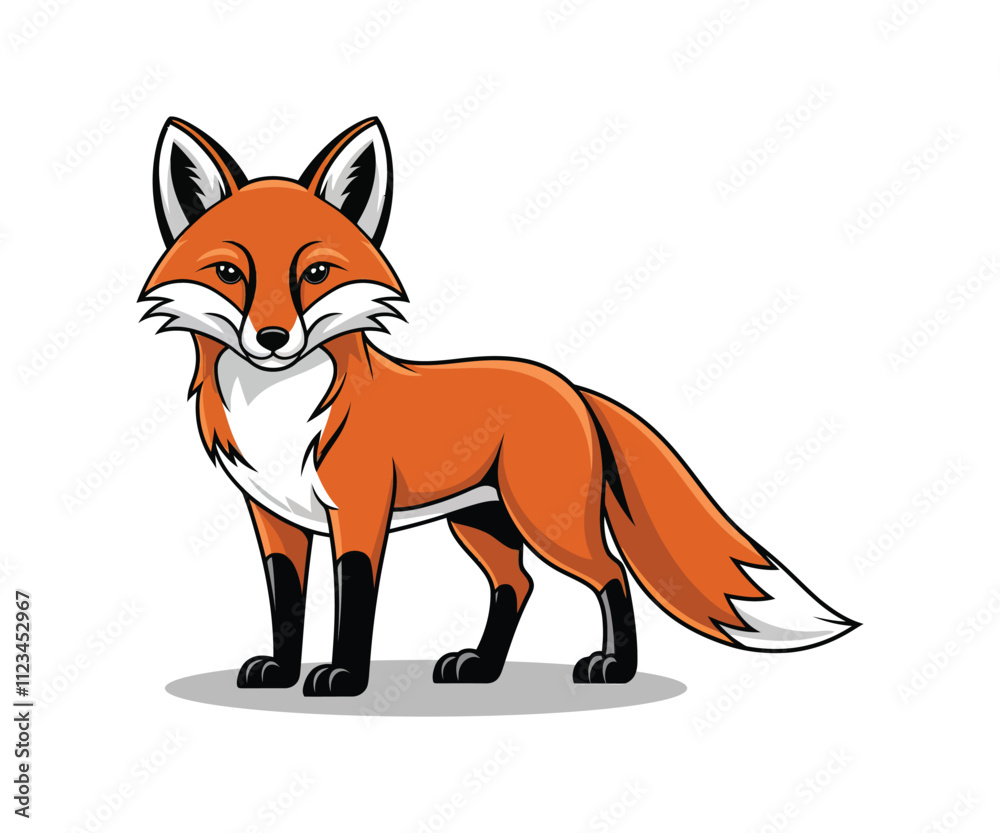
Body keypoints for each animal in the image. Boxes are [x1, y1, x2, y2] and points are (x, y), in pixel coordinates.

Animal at [139, 116, 858, 697]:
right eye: (229, 273)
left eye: (314, 274)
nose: (271, 338)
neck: (280, 416)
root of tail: (571, 386)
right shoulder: (273, 518)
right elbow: (286, 604)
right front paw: (281, 672)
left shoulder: (360, 513)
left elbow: (355, 603)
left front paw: (344, 676)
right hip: (481, 523)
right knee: (518, 584)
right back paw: (482, 666)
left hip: (547, 522)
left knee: (609, 574)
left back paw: (612, 667)